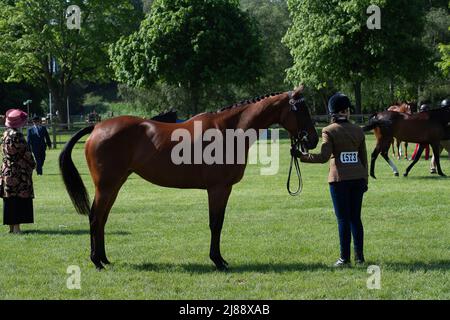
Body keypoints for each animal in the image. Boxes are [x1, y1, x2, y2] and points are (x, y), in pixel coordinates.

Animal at [60, 87, 320, 270]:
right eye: (301, 110)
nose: (313, 139)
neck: (228, 131)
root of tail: (97, 126)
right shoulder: (218, 188)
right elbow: (216, 224)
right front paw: (218, 261)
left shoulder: (222, 189)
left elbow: (218, 222)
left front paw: (219, 259)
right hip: (106, 186)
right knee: (95, 217)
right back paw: (96, 261)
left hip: (114, 185)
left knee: (102, 219)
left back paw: (104, 259)